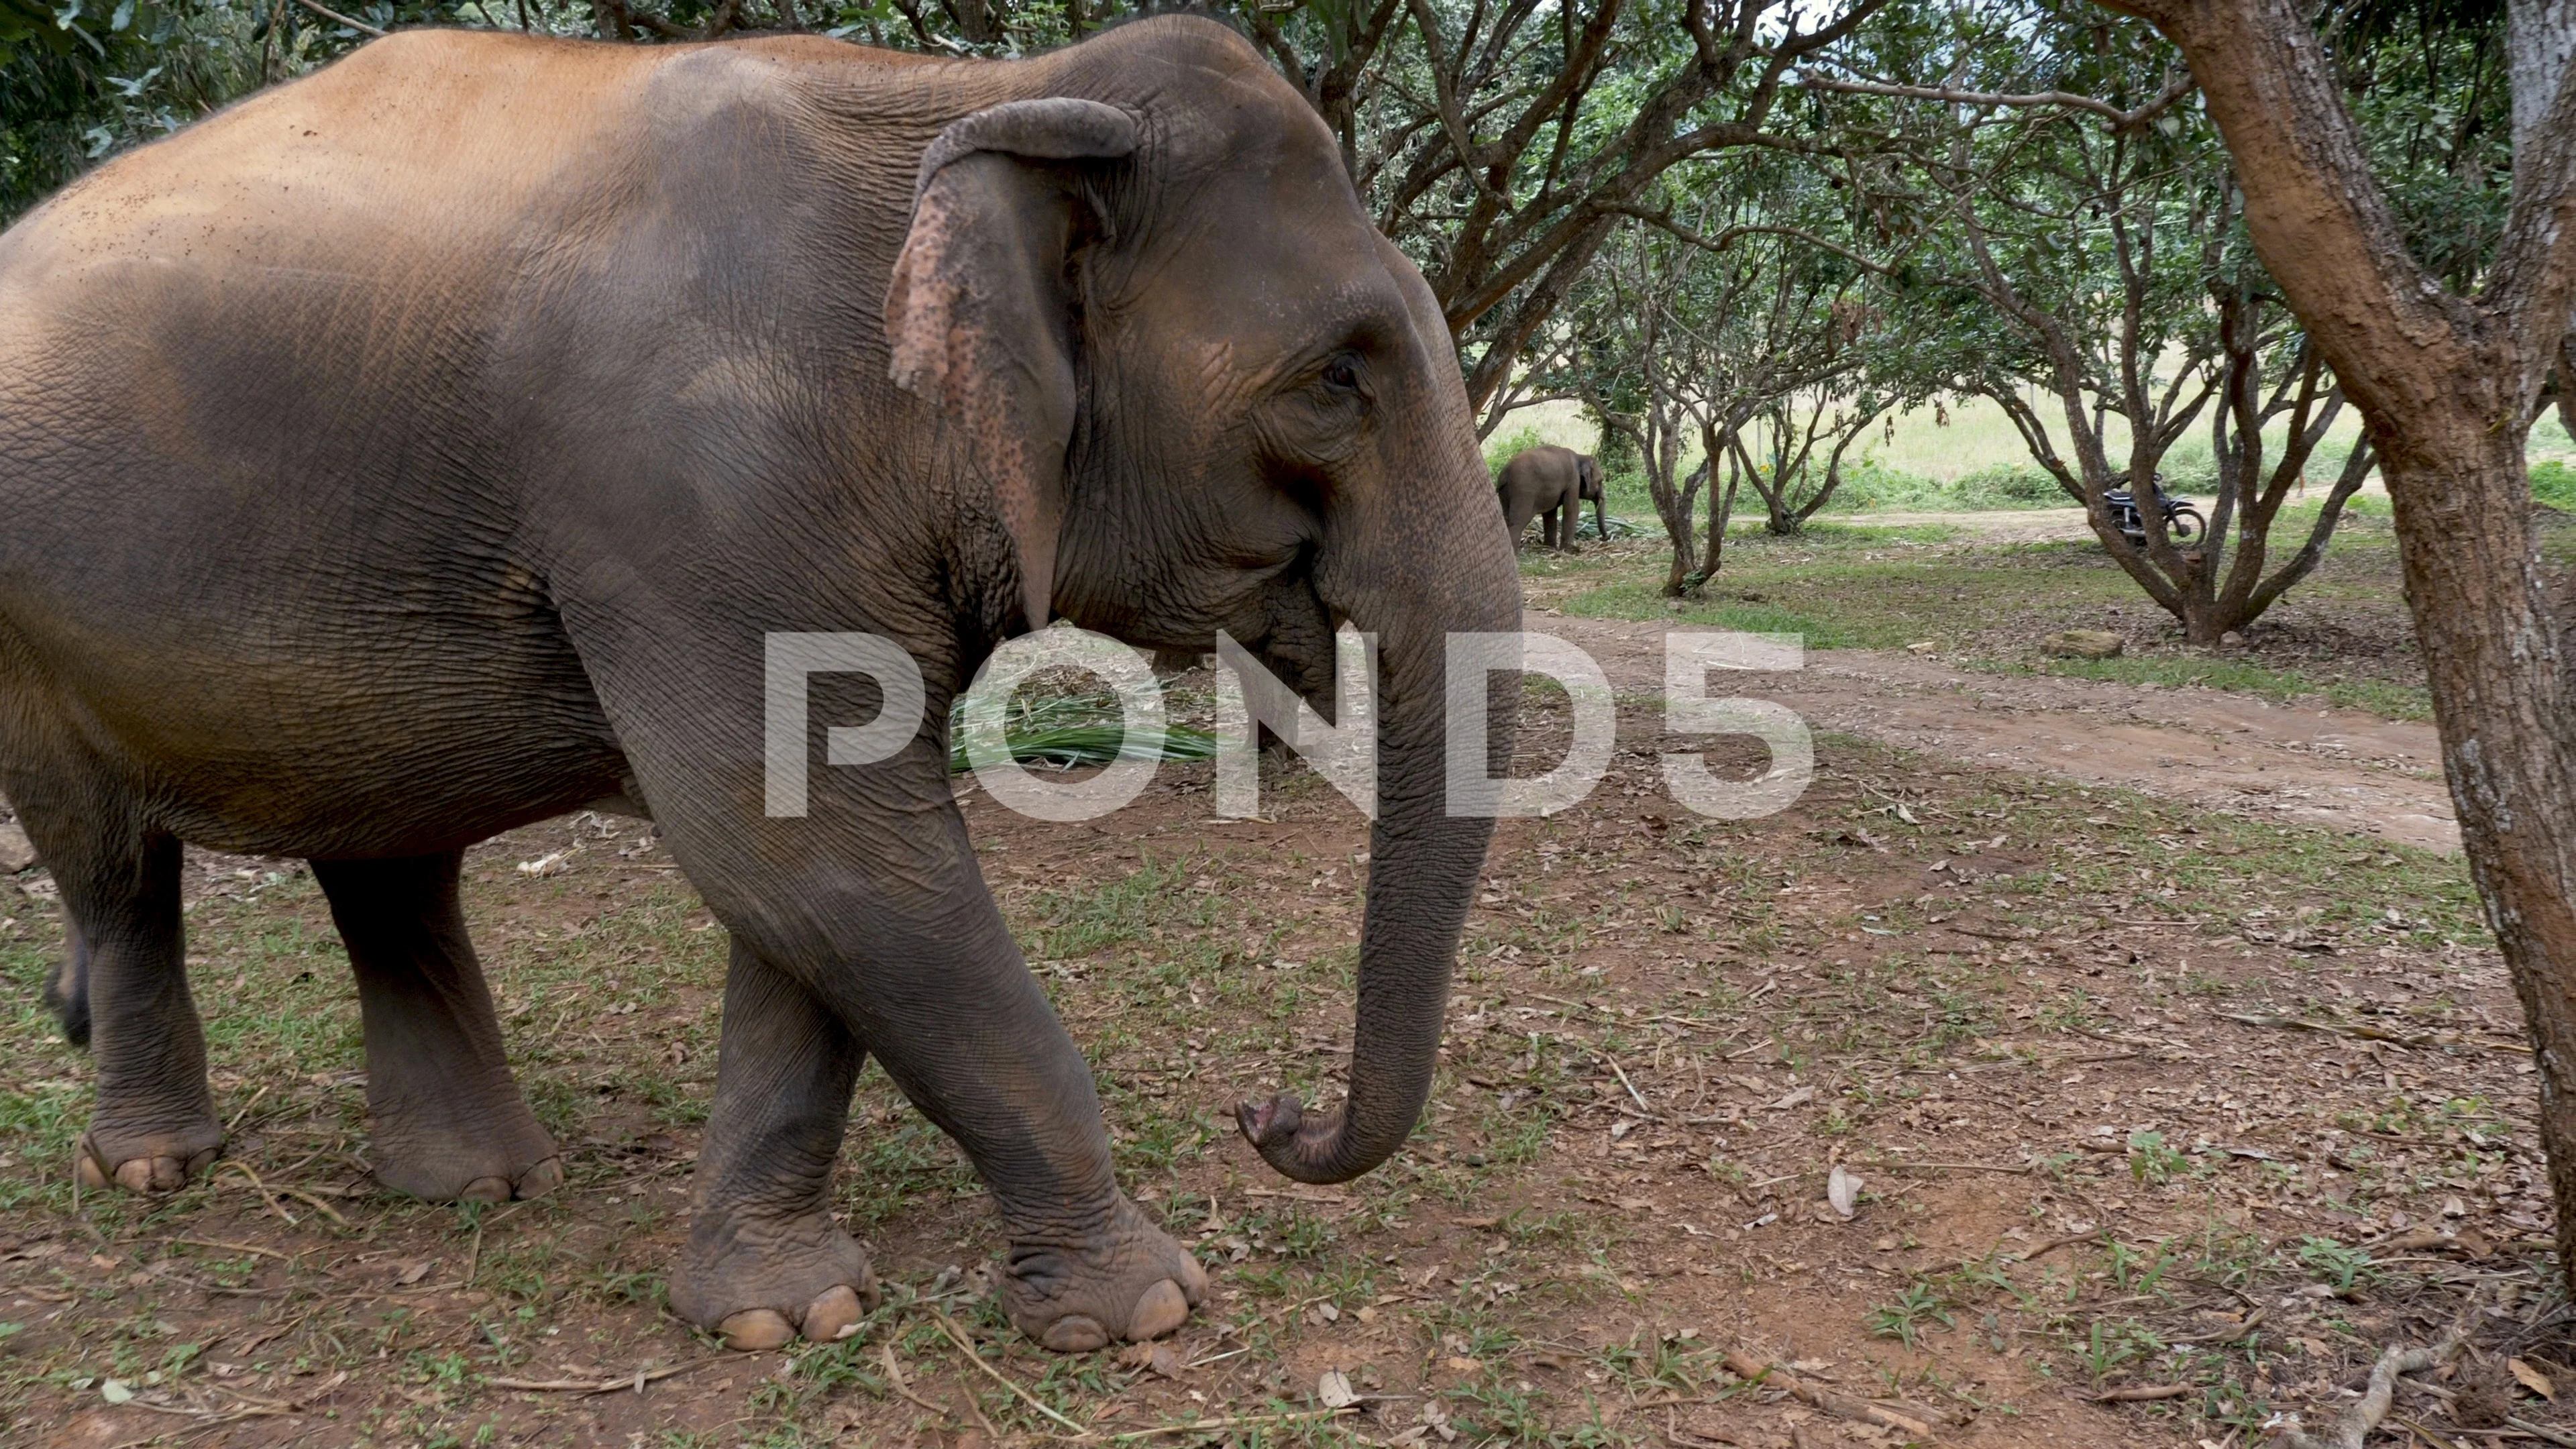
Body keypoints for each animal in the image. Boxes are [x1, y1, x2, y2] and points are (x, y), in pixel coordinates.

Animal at [0, 17, 1514, 1350]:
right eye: (1334, 380)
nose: (1270, 1115)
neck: (978, 96)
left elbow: (814, 884)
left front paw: (784, 1312)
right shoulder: (697, 490)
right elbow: (813, 851)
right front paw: (1141, 1309)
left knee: (387, 862)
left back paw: (479, 1183)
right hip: (24, 630)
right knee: (111, 867)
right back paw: (159, 1168)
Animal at [1504, 441, 1597, 546]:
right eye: (1601, 481)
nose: (1604, 538)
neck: (1580, 456)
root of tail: (1505, 472)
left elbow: (1550, 512)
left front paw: (1550, 547)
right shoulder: (1574, 481)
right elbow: (1572, 509)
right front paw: (1568, 549)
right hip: (1523, 492)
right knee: (1517, 523)